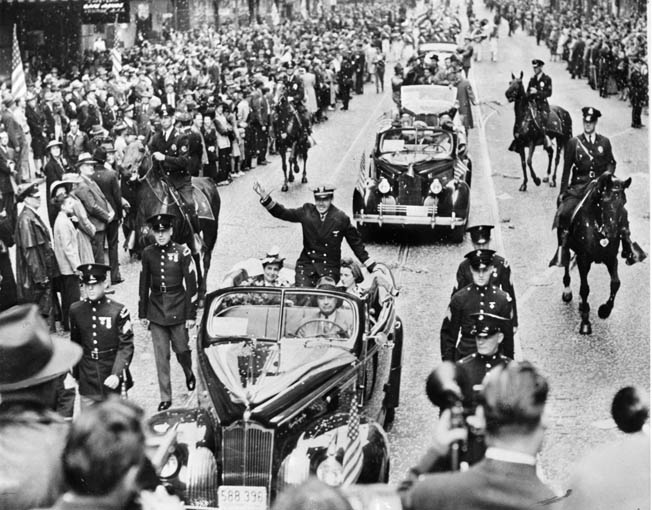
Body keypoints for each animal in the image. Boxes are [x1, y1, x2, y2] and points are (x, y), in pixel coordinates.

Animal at [122, 139, 222, 302]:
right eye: (124, 151)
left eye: (141, 149)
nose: (125, 169)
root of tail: (208, 180)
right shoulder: (145, 246)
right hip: (190, 236)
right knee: (196, 255)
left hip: (211, 231)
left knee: (206, 259)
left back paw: (202, 294)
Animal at [556, 173, 632, 336]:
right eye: (604, 201)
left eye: (624, 201)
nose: (612, 233)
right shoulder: (583, 258)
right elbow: (585, 288)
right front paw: (585, 323)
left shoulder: (611, 258)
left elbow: (615, 283)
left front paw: (604, 310)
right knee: (566, 263)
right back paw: (567, 292)